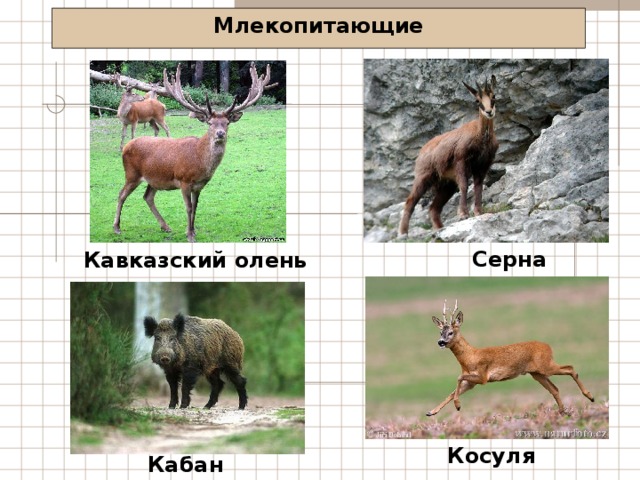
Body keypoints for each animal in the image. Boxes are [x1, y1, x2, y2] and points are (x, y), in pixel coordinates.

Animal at [113, 62, 275, 243]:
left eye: (227, 123)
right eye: (210, 123)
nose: (220, 133)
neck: (200, 162)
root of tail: (127, 147)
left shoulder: (199, 185)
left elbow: (196, 206)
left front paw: (192, 230)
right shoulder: (184, 180)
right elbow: (189, 207)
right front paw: (190, 235)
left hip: (154, 179)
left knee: (147, 197)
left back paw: (165, 226)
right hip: (132, 174)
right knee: (121, 194)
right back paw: (117, 228)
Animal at [398, 75, 499, 235]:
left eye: (493, 96)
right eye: (477, 100)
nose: (489, 112)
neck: (481, 136)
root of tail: (422, 151)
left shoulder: (482, 166)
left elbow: (478, 187)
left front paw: (478, 212)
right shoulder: (461, 161)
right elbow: (464, 185)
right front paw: (463, 214)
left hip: (447, 185)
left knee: (434, 207)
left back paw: (439, 228)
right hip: (423, 177)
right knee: (410, 201)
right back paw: (403, 233)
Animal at [426, 300, 595, 416]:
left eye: (450, 332)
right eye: (440, 332)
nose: (440, 342)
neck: (470, 358)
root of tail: (548, 346)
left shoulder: (483, 376)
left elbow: (458, 378)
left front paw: (458, 406)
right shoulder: (471, 382)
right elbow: (453, 391)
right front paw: (431, 412)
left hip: (546, 365)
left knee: (571, 368)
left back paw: (590, 396)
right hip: (537, 373)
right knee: (555, 388)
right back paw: (562, 412)